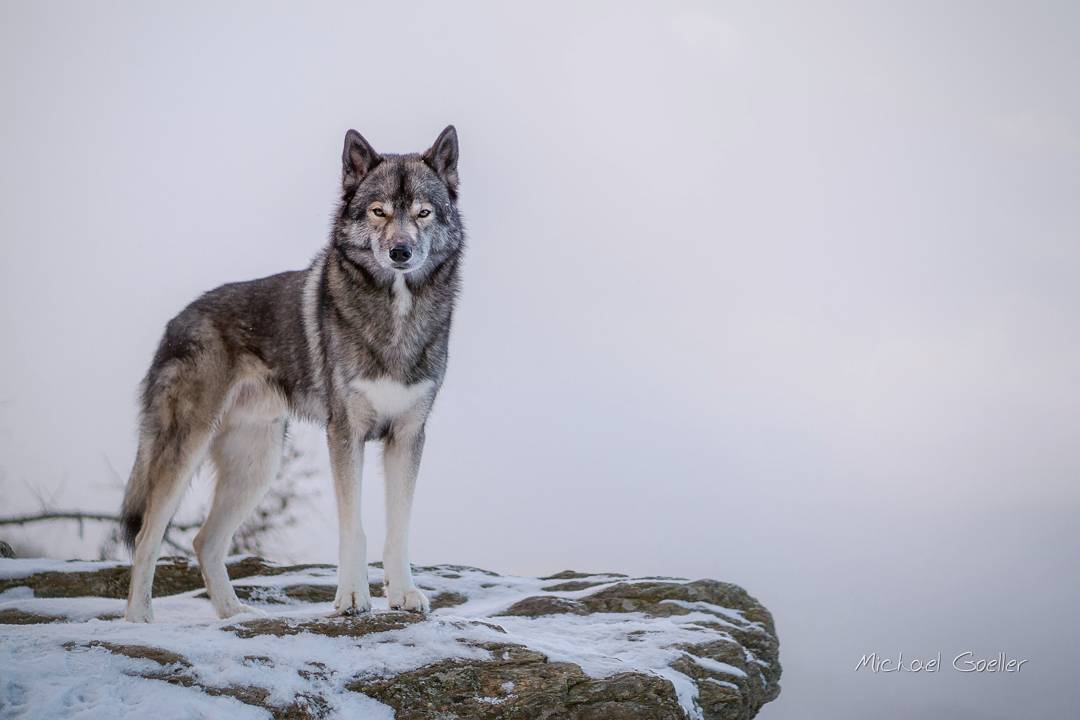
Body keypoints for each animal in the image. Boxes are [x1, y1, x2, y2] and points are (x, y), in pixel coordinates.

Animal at [121, 126, 464, 621]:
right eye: (379, 211)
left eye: (423, 212)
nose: (401, 252)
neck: (396, 313)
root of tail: (175, 322)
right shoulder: (345, 434)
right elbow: (354, 527)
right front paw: (352, 598)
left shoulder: (407, 435)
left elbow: (398, 530)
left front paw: (403, 595)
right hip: (186, 449)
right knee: (149, 536)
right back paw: (139, 622)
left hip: (257, 465)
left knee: (205, 541)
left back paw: (236, 615)